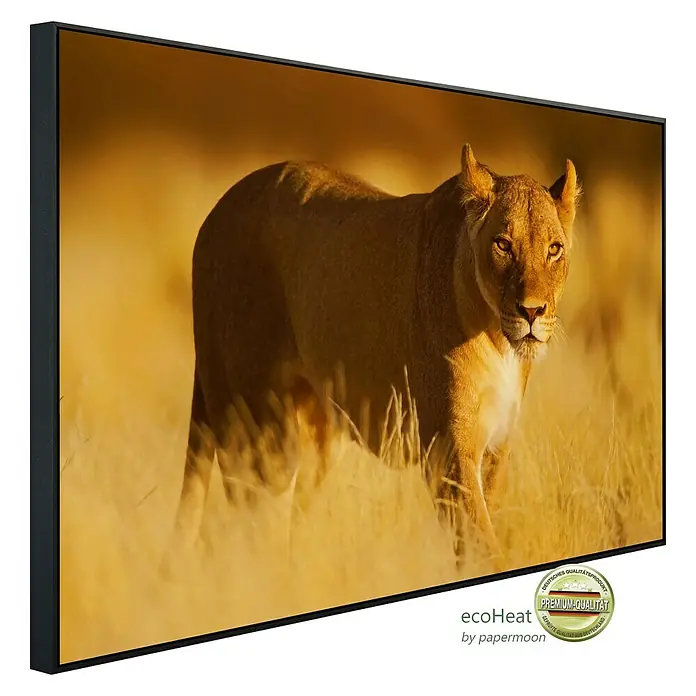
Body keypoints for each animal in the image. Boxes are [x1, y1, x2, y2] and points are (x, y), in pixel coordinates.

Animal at [170, 144, 580, 569]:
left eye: (554, 249)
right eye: (503, 245)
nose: (532, 311)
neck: (499, 339)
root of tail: (215, 213)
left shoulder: (497, 445)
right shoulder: (447, 445)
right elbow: (480, 540)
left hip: (313, 436)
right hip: (257, 429)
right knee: (250, 520)